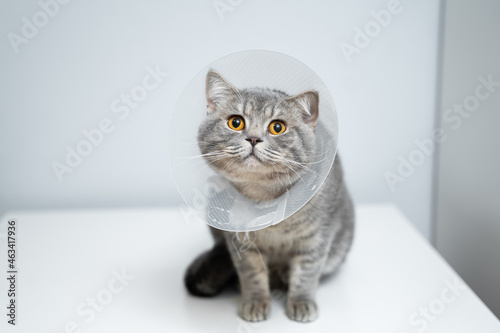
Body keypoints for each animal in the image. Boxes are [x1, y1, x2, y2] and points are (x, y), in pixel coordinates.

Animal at [185, 70, 356, 322]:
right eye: (236, 122)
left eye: (277, 127)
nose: (254, 139)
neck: (264, 199)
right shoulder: (240, 242)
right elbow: (252, 273)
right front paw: (256, 302)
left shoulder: (317, 237)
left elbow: (306, 273)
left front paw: (301, 302)